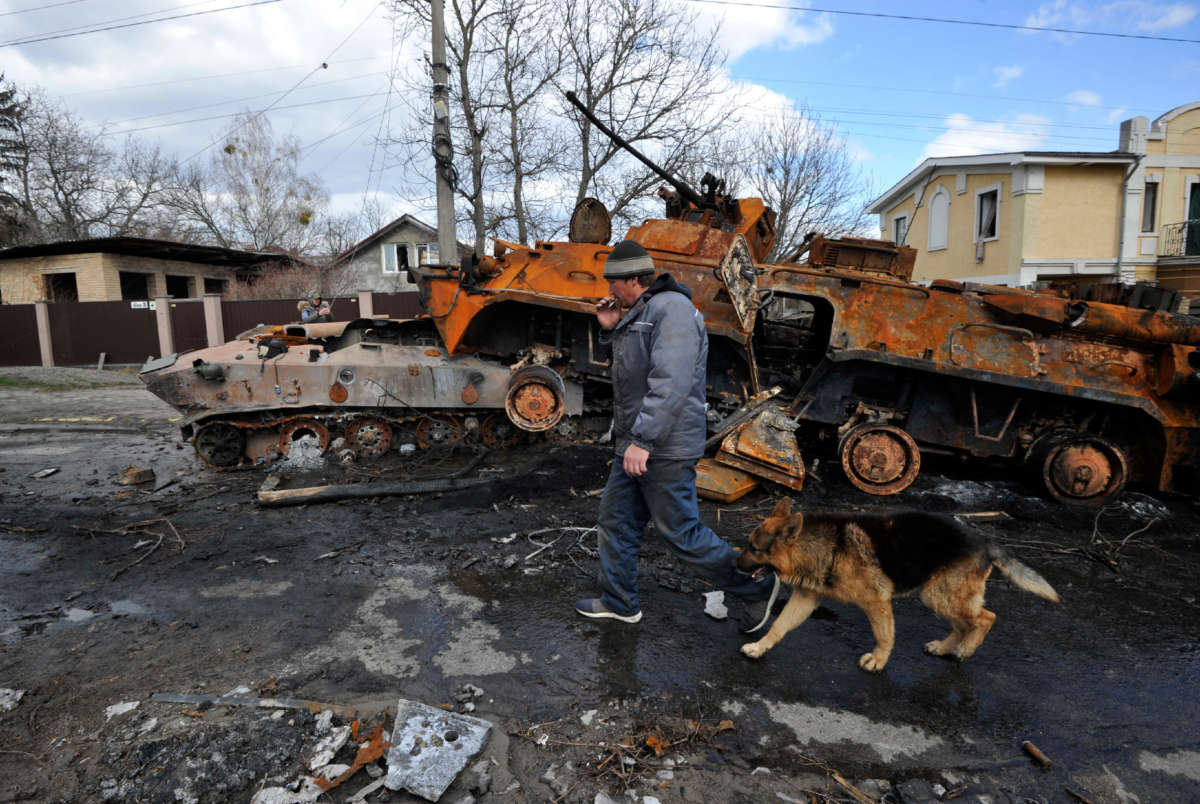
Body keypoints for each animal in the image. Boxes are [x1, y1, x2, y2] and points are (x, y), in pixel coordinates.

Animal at [729, 504, 1060, 672]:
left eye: (753, 549)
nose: (733, 563)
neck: (825, 545)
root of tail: (985, 540)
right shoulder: (806, 599)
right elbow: (778, 626)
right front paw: (759, 647)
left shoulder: (876, 601)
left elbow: (884, 634)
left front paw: (878, 660)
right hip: (936, 595)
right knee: (964, 624)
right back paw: (945, 647)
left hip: (941, 595)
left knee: (986, 618)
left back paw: (966, 649)